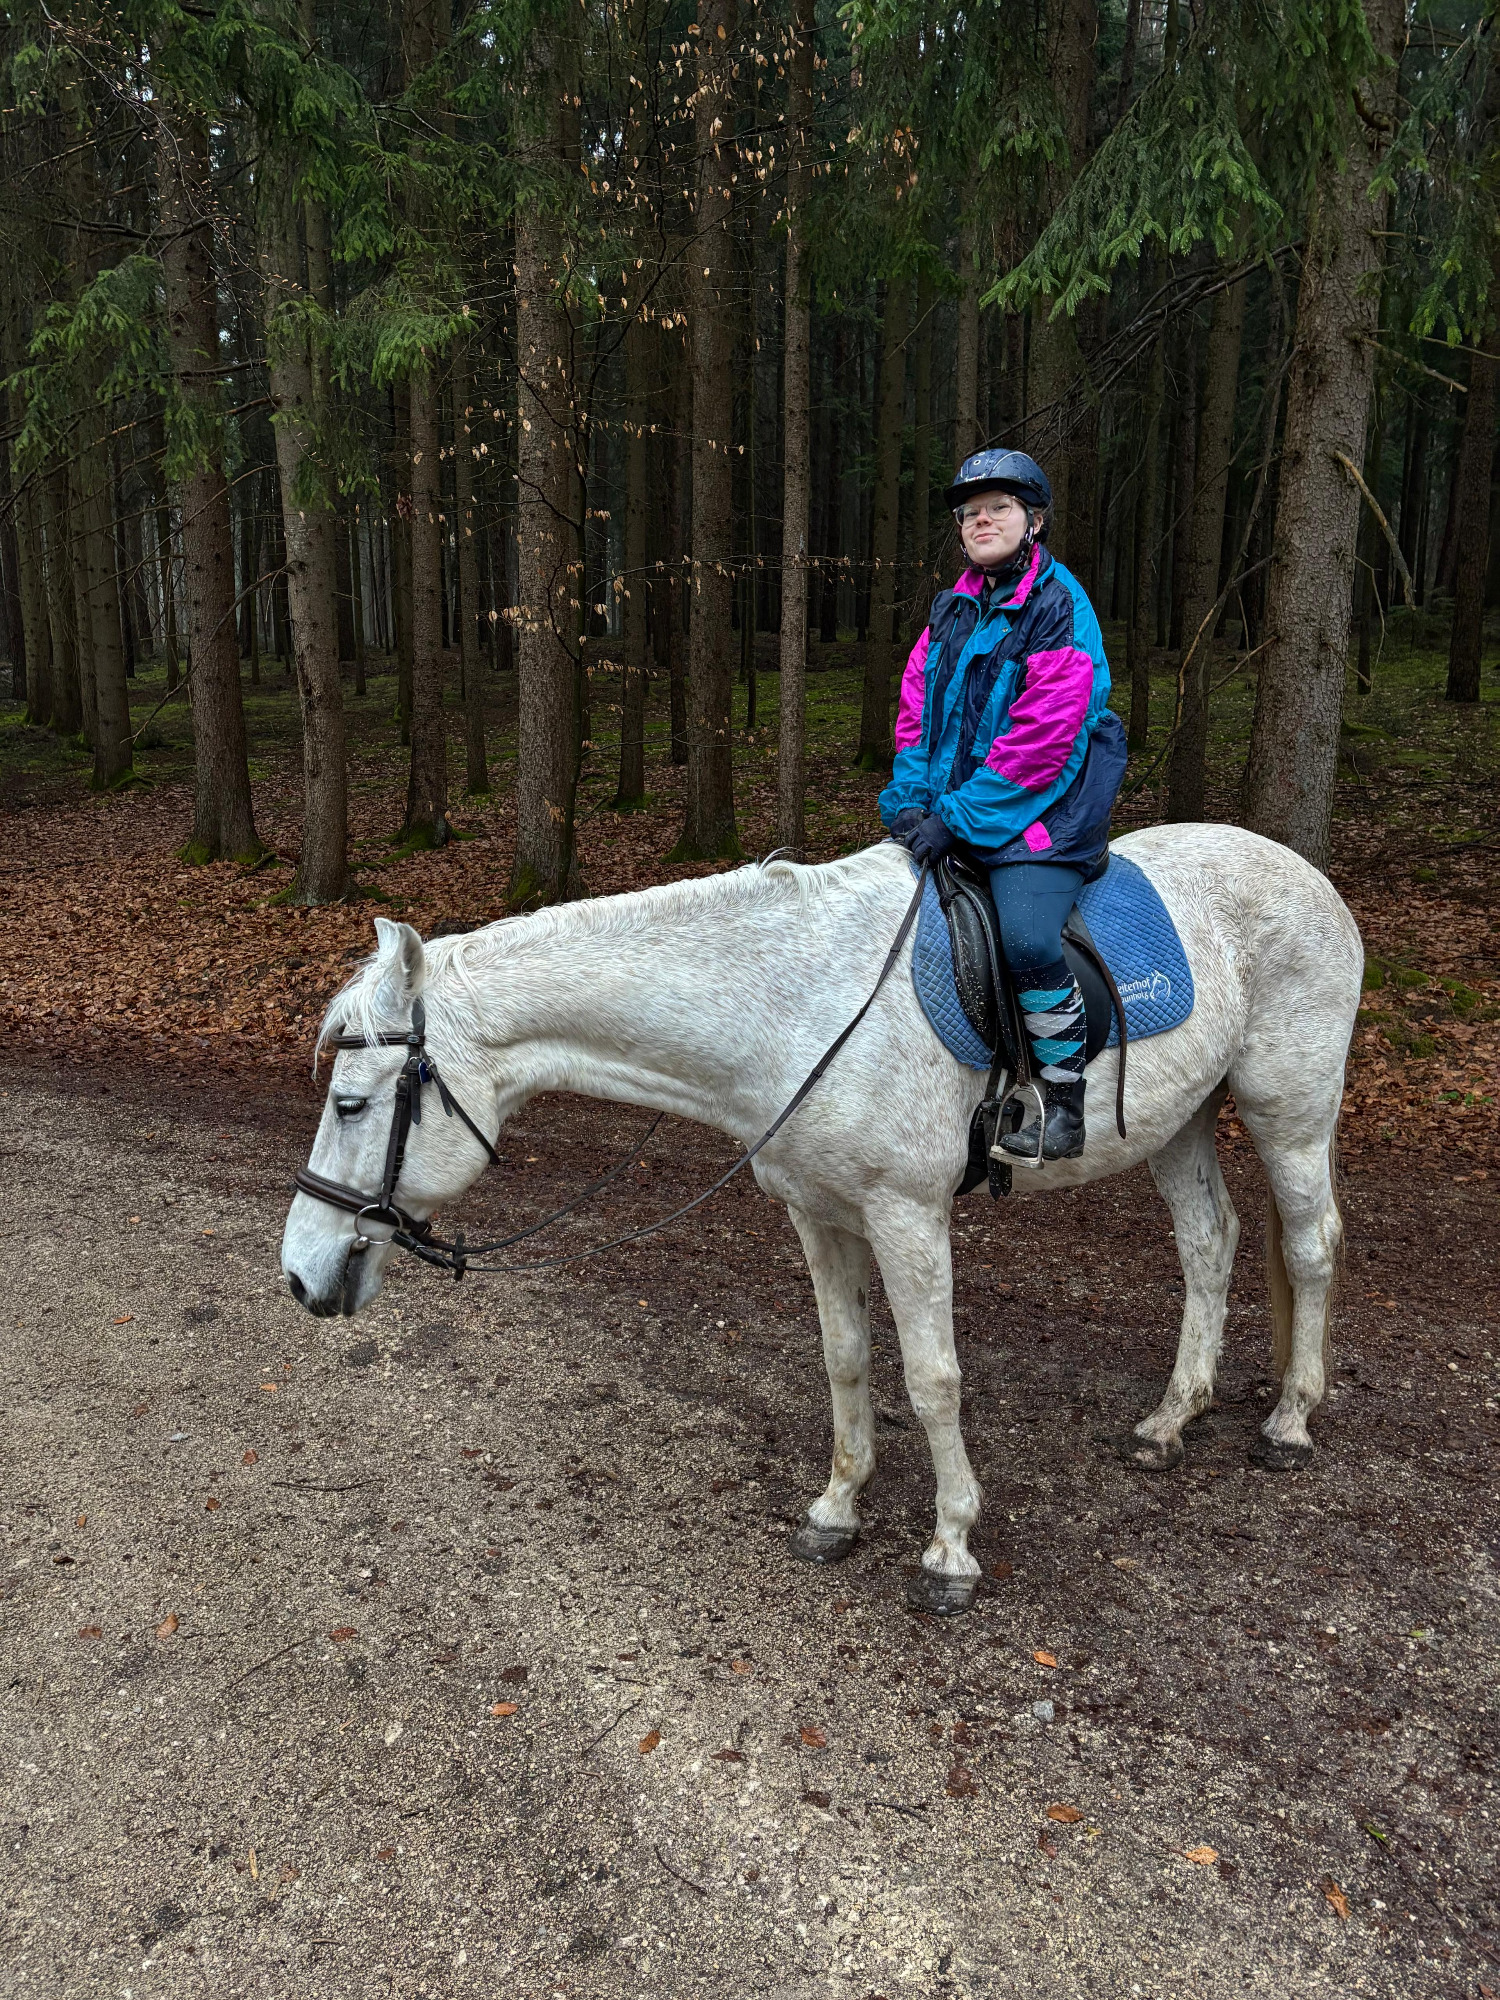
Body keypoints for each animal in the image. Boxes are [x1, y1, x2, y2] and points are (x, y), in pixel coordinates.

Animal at [280, 824, 1363, 1614]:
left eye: (351, 1104)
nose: (299, 1272)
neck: (798, 1008)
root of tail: (1309, 872)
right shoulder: (817, 1212)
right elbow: (845, 1357)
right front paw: (838, 1507)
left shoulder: (906, 1215)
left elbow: (932, 1378)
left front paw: (950, 1546)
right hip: (1176, 1120)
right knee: (1210, 1243)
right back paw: (1174, 1415)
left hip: (1288, 1106)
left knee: (1309, 1245)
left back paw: (1290, 1419)